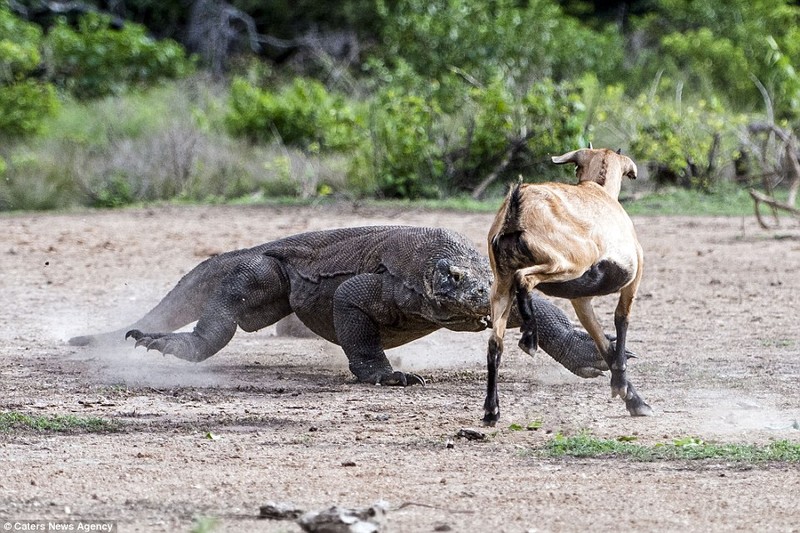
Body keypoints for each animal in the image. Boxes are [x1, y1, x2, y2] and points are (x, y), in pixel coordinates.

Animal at [484, 147, 652, 424]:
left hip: (501, 284)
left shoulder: (580, 299)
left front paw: (631, 397)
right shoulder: (632, 278)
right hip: (568, 261)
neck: (598, 191)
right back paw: (529, 339)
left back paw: (491, 411)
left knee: (494, 344)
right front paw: (629, 394)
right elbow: (621, 320)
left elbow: (601, 340)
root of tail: (518, 207)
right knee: (525, 278)